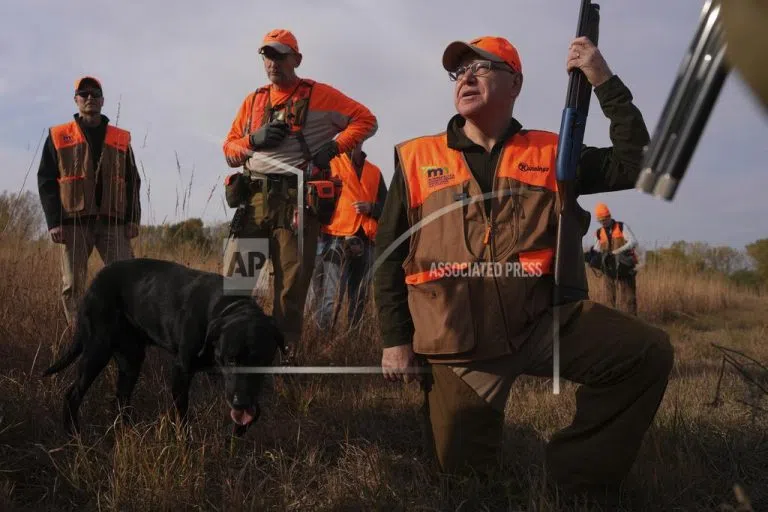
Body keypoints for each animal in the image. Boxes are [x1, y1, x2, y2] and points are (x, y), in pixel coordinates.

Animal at [41, 258, 284, 434]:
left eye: (262, 361)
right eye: (230, 359)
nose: (240, 403)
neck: (226, 306)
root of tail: (93, 283)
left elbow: (254, 410)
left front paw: (238, 433)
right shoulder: (181, 370)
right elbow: (183, 416)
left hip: (131, 360)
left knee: (121, 398)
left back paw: (126, 433)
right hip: (97, 351)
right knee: (72, 395)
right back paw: (73, 435)